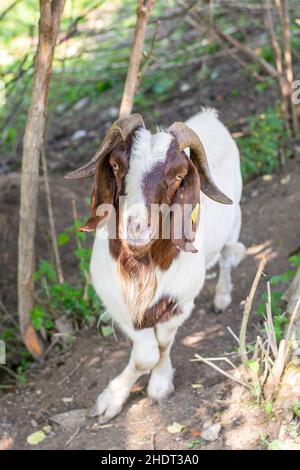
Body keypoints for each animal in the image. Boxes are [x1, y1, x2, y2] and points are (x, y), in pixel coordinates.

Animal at [65, 109, 244, 422]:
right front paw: (110, 401)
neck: (143, 265)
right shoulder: (118, 303)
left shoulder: (179, 303)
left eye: (179, 175)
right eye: (115, 164)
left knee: (225, 258)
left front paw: (159, 386)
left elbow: (161, 345)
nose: (136, 229)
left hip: (235, 222)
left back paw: (222, 297)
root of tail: (208, 115)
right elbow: (146, 354)